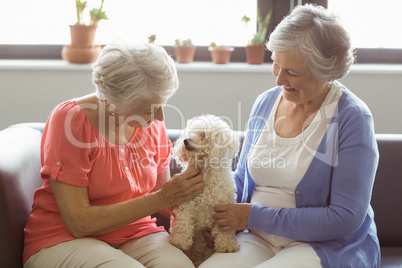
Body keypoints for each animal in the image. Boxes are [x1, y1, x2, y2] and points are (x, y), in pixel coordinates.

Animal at [169, 114, 239, 266]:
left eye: (203, 135)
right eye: (190, 132)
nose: (185, 140)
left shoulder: (223, 210)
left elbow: (223, 231)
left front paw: (227, 246)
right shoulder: (185, 203)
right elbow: (183, 222)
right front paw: (180, 242)